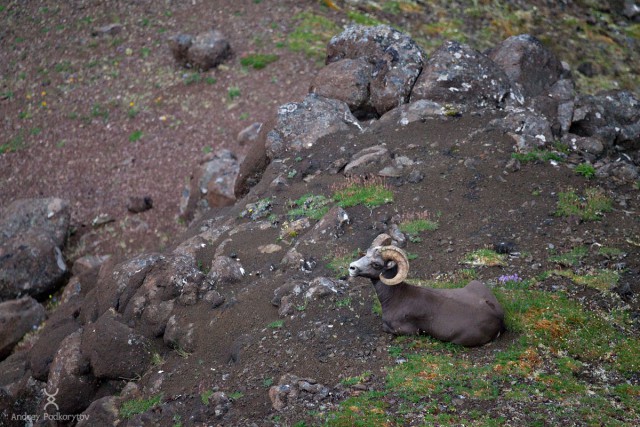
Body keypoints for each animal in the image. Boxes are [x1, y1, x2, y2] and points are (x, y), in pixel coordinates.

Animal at [350, 234, 504, 348]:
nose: (352, 268)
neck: (395, 297)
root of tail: (498, 319)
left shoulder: (406, 330)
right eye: (366, 254)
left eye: (376, 264)